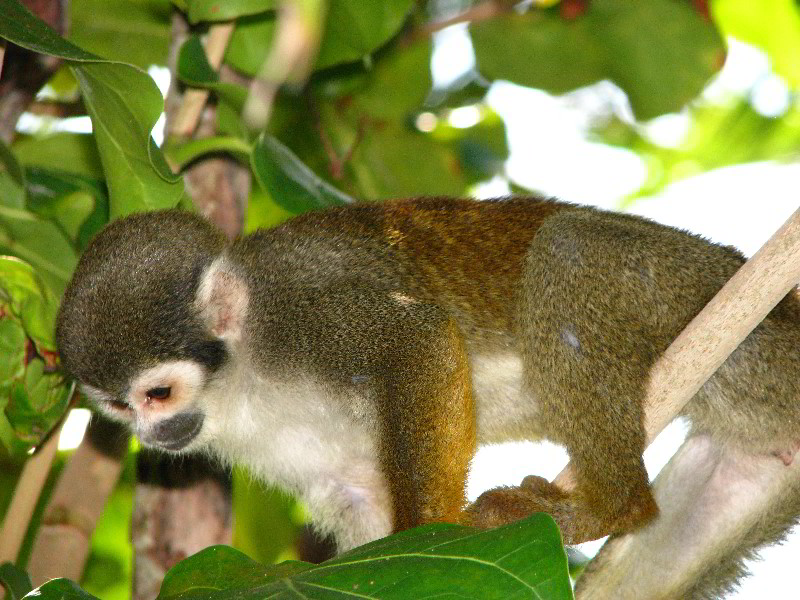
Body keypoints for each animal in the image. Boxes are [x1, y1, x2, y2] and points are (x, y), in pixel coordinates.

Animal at [57, 197, 800, 596]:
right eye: (120, 407)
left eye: (158, 393)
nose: (153, 435)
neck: (242, 378)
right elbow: (356, 492)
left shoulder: (304, 305)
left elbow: (418, 342)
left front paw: (429, 532)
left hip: (716, 311)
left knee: (569, 249)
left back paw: (613, 504)